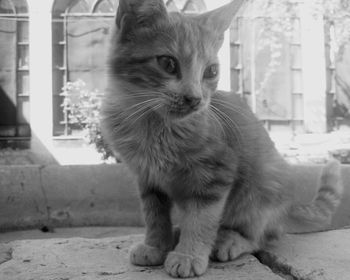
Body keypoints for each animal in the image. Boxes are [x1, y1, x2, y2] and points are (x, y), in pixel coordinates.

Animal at [100, 0, 344, 278]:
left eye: (211, 71)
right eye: (168, 63)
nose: (194, 98)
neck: (154, 124)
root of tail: (288, 206)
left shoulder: (217, 174)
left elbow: (201, 218)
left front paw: (188, 255)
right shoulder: (147, 178)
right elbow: (154, 215)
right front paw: (155, 245)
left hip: (262, 191)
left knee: (264, 236)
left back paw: (230, 240)